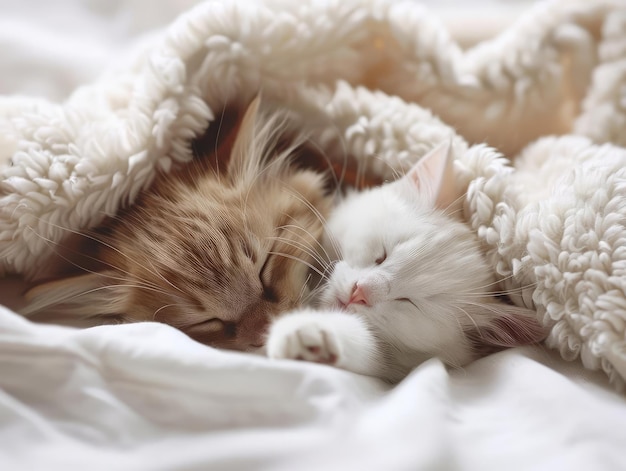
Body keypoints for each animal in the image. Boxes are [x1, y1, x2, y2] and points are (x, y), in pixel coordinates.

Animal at [266, 142, 544, 382]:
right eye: (382, 255)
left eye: (409, 301)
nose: (360, 292)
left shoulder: (396, 363)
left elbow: (370, 351)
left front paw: (311, 331)